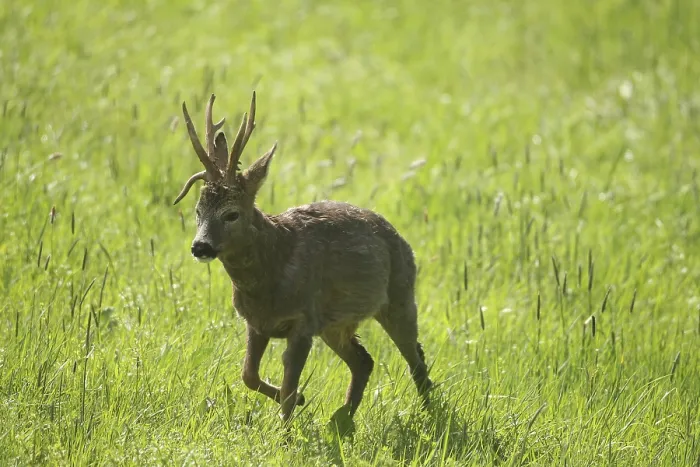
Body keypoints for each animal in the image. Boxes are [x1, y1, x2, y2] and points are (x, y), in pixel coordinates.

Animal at [172, 91, 433, 424]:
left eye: (232, 214)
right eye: (197, 211)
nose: (200, 247)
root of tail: (401, 239)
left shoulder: (303, 321)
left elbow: (286, 387)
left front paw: (284, 430)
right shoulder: (257, 323)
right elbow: (249, 375)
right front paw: (302, 401)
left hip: (400, 295)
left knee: (416, 358)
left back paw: (431, 414)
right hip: (334, 324)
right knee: (364, 360)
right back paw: (342, 419)